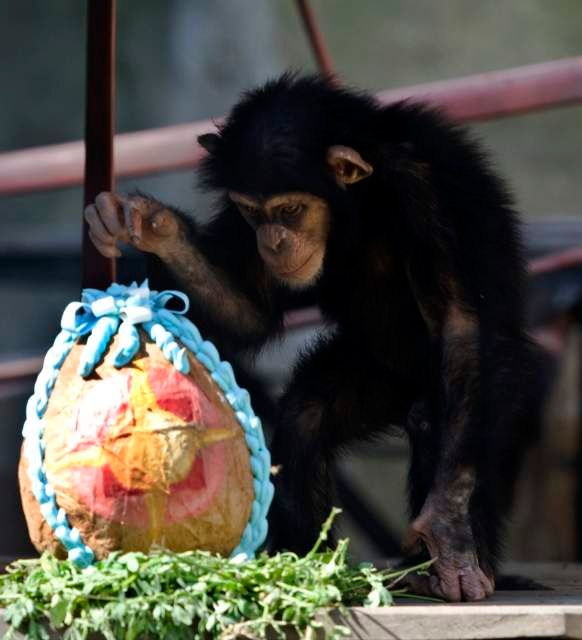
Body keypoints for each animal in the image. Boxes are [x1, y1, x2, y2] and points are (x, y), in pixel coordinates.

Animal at [84, 74, 540, 600]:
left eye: (291, 209)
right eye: (253, 212)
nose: (273, 241)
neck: (360, 201)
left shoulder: (430, 187)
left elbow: (460, 322)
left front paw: (447, 527)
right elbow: (248, 312)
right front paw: (149, 225)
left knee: (448, 414)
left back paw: (459, 565)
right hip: (377, 372)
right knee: (306, 417)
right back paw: (307, 564)